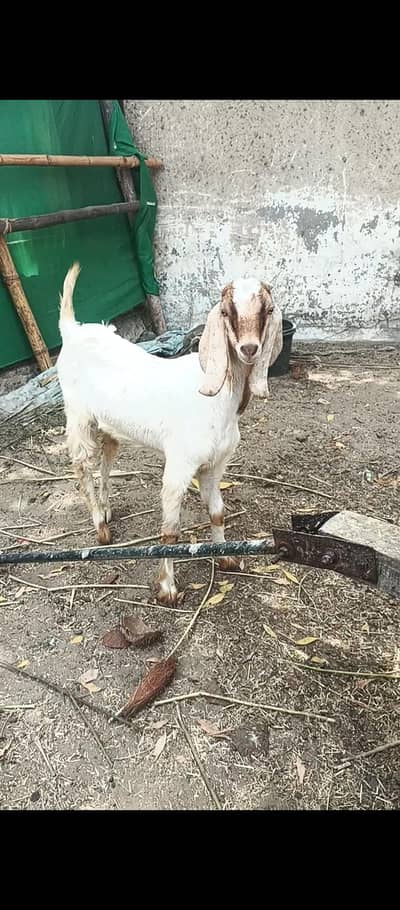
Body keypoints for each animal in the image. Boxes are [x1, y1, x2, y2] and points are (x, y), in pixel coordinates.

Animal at [57, 265, 283, 604]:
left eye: (267, 310)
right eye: (226, 311)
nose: (248, 349)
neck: (217, 399)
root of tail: (72, 330)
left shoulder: (215, 465)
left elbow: (217, 512)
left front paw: (226, 558)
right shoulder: (179, 465)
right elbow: (171, 531)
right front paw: (167, 589)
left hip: (108, 424)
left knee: (107, 456)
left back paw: (107, 510)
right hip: (78, 414)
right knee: (82, 463)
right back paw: (100, 526)